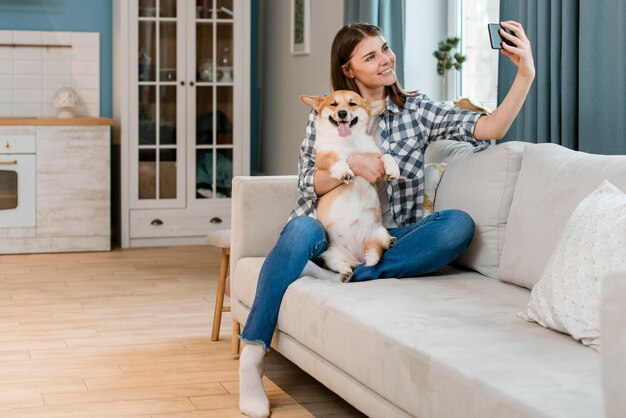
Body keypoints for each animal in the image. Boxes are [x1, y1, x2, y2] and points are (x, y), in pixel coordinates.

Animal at [298, 90, 398, 282]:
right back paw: (345, 273)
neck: (348, 142)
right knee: (341, 265)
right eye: (334, 104)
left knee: (378, 246)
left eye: (352, 104)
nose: (342, 113)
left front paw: (394, 170)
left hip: (379, 231)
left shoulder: (375, 159)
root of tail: (357, 258)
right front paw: (344, 171)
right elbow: (337, 158)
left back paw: (388, 242)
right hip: (330, 256)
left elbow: (387, 156)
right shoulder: (324, 156)